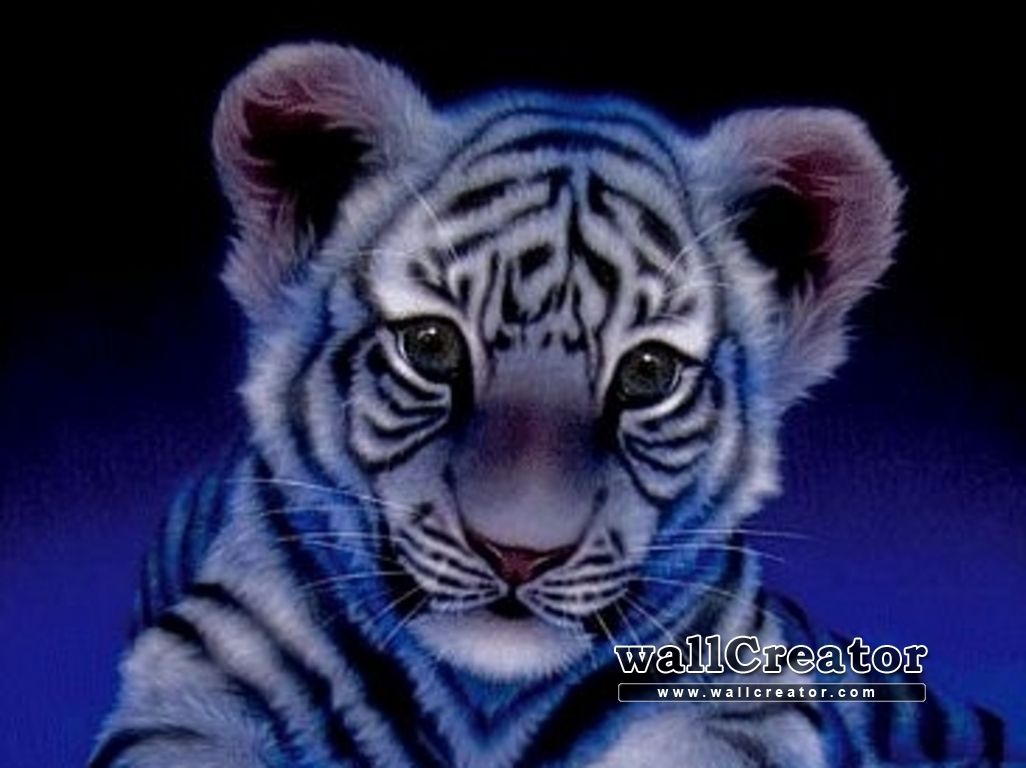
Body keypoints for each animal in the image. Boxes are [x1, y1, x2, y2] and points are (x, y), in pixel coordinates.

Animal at [91, 42, 1018, 767]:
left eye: (648, 372)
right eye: (432, 346)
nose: (518, 554)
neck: (483, 706)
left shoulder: (741, 693)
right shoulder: (201, 669)